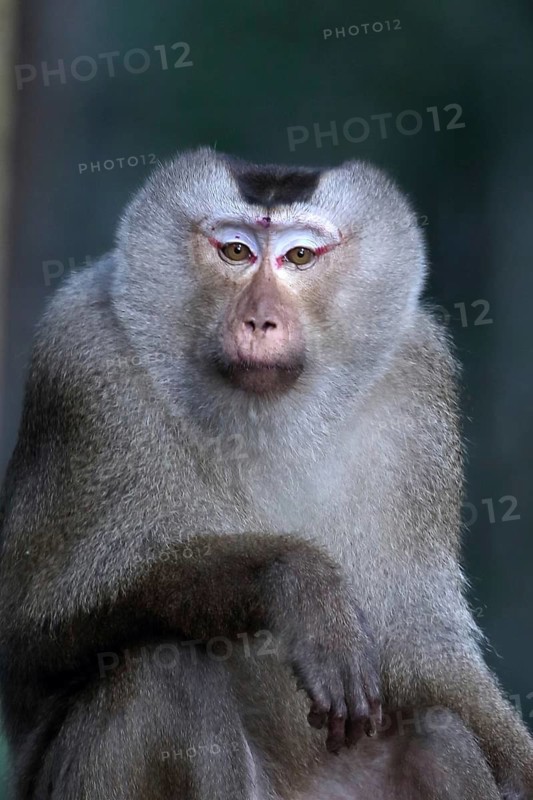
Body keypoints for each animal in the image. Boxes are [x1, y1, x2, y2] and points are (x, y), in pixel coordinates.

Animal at [0, 146, 532, 800]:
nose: (259, 321)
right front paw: (298, 586)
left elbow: (427, 654)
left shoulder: (415, 384)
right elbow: (31, 639)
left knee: (441, 735)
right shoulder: (79, 365)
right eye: (236, 251)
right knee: (161, 674)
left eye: (298, 257)